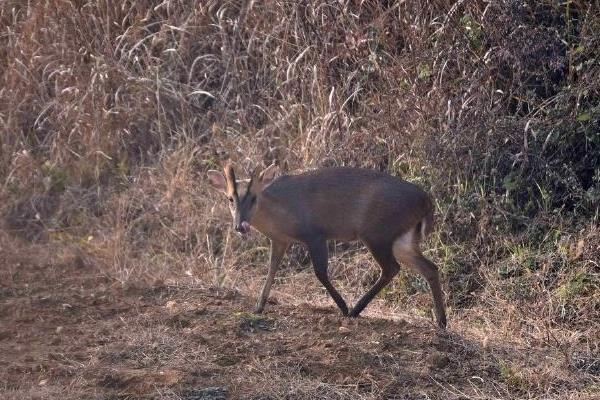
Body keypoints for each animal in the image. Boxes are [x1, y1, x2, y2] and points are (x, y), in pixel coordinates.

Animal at [206, 162, 446, 328]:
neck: (279, 213)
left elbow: (320, 272)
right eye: (230, 199)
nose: (240, 226)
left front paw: (342, 306)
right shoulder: (280, 240)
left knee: (391, 268)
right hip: (402, 241)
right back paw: (442, 322)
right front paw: (258, 307)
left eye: (254, 197)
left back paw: (354, 310)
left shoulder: (316, 235)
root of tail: (426, 202)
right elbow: (271, 271)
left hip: (377, 233)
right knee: (430, 268)